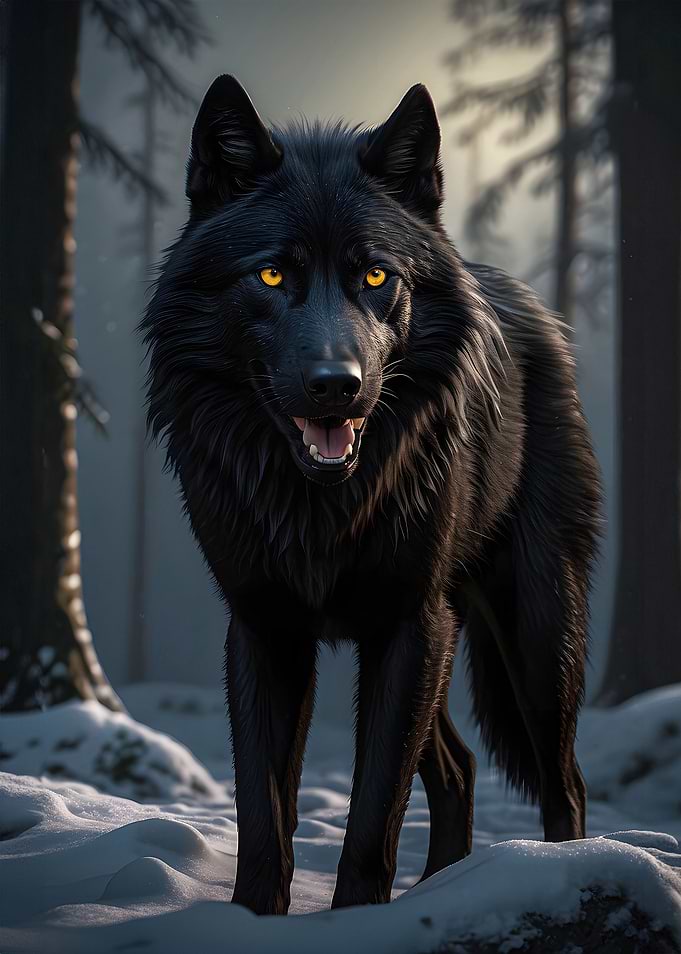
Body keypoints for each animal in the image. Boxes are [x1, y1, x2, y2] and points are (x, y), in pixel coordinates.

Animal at [141, 75, 601, 915]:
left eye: (376, 277)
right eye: (272, 275)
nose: (336, 385)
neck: (318, 508)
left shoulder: (406, 625)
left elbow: (370, 815)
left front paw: (354, 920)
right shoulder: (263, 628)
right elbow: (264, 814)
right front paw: (252, 920)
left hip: (533, 636)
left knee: (565, 785)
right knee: (458, 766)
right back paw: (439, 890)